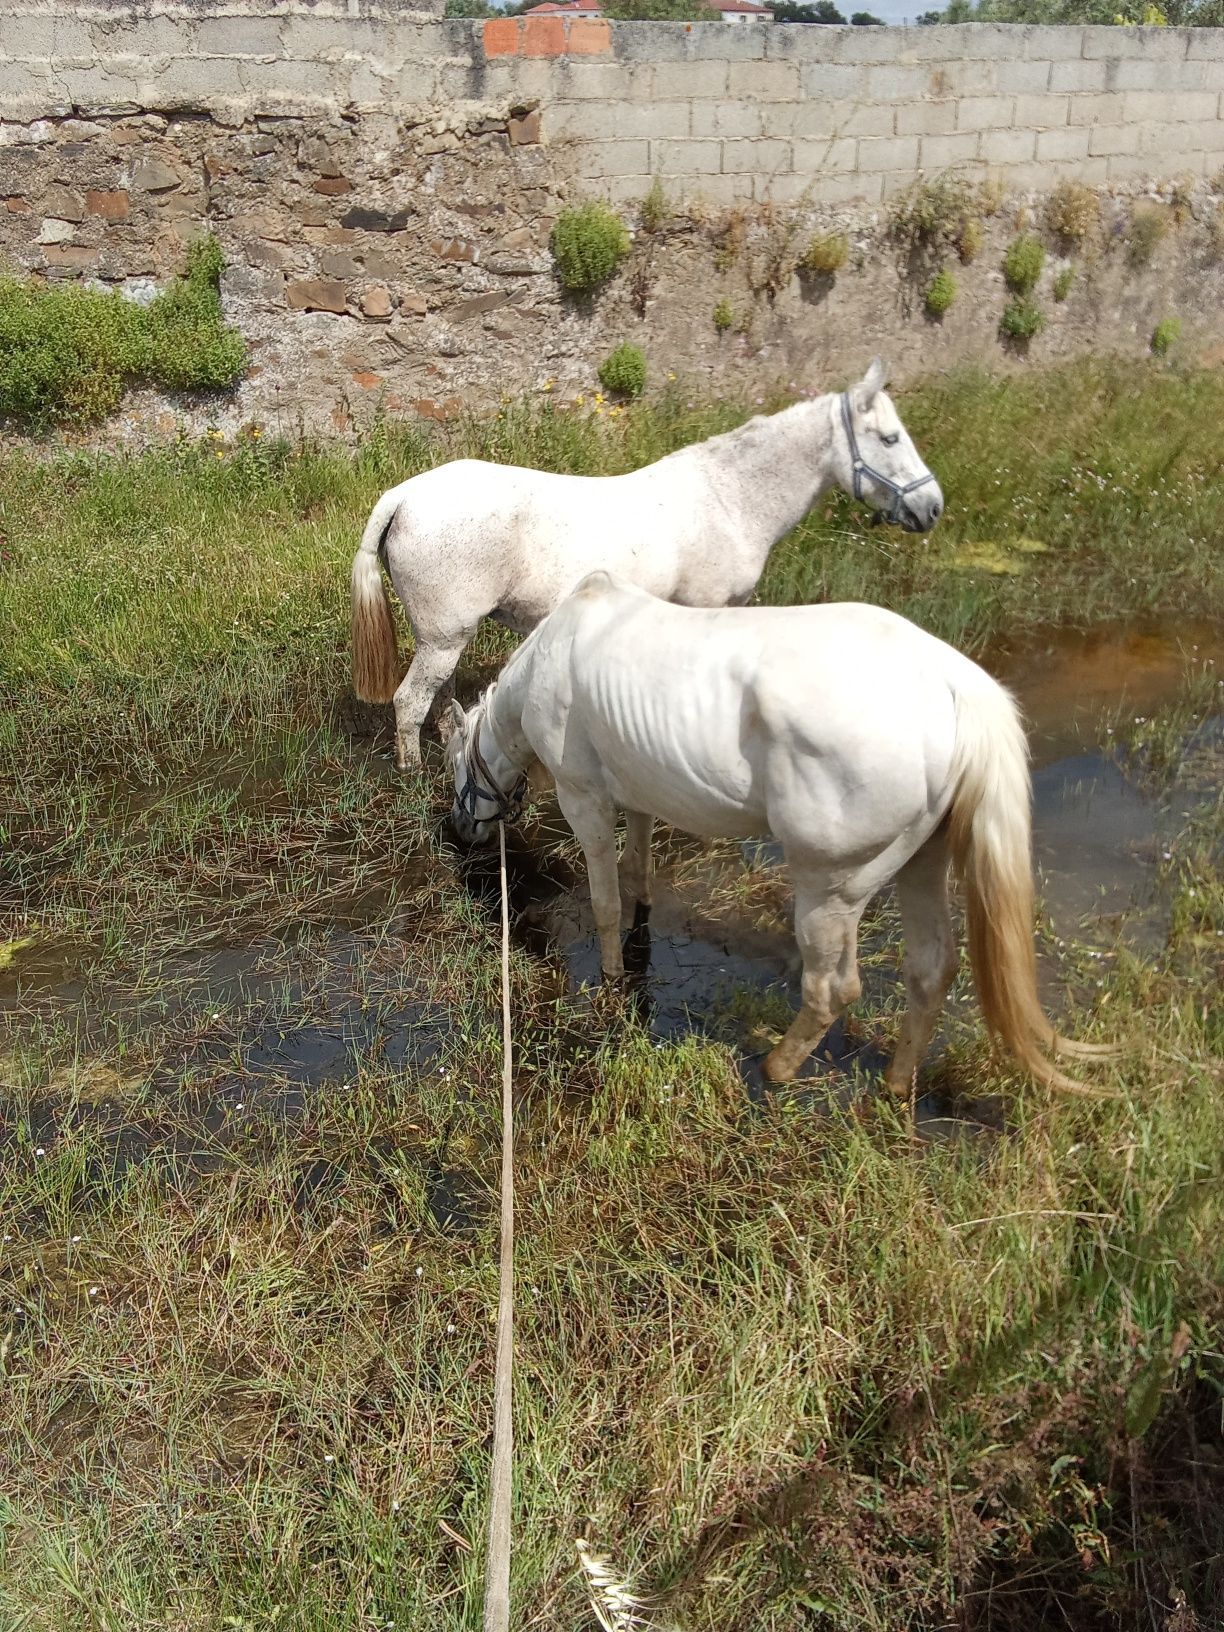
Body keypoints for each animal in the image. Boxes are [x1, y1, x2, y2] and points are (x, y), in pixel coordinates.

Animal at [349, 355, 946, 770]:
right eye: (890, 438)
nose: (932, 507)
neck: (730, 498)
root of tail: (404, 495)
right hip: (444, 636)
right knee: (409, 701)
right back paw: (411, 773)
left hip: (447, 634)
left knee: (440, 695)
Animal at [447, 574, 1109, 1096]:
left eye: (453, 765)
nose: (459, 833)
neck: (552, 653)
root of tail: (956, 689)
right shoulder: (638, 794)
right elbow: (638, 871)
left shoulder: (583, 797)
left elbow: (606, 902)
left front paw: (610, 980)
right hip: (923, 861)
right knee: (930, 969)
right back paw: (897, 1086)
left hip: (830, 889)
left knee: (832, 990)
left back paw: (774, 1069)